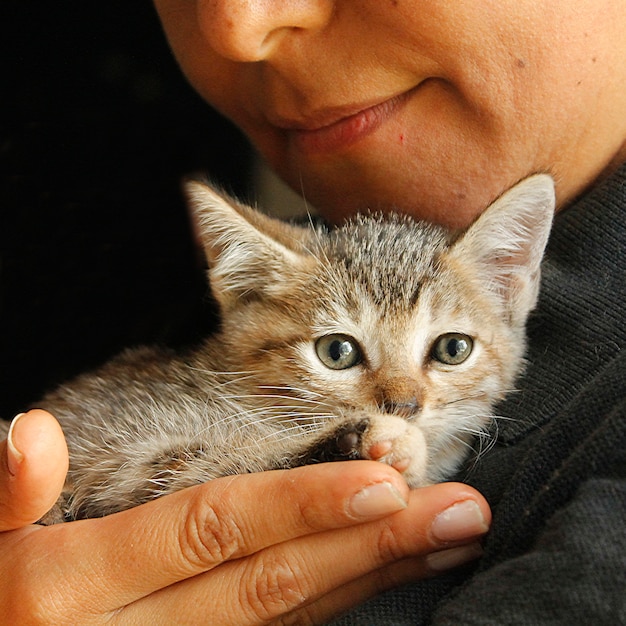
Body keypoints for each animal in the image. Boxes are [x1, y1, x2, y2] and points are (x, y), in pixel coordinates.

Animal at [3, 173, 552, 520]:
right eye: (337, 352)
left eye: (452, 349)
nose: (403, 407)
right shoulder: (119, 463)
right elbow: (223, 465)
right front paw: (363, 440)